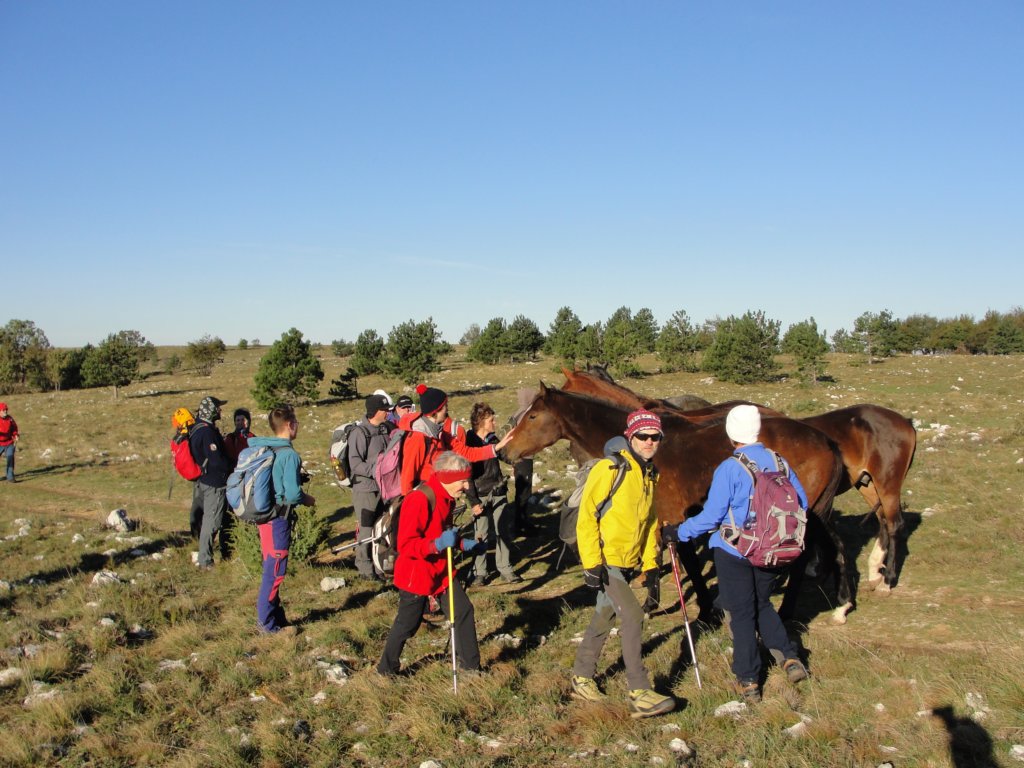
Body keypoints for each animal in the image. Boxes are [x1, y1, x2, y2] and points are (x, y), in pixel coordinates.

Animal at [499, 383, 853, 623]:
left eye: (533, 416)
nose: (504, 452)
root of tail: (825, 440)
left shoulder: (676, 518)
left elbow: (684, 563)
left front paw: (702, 612)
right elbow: (655, 559)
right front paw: (654, 604)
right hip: (817, 514)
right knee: (833, 546)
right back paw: (841, 602)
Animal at [561, 367, 917, 591]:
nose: (577, 457)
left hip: (883, 484)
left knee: (893, 524)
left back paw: (886, 580)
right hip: (867, 485)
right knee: (881, 523)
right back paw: (871, 571)